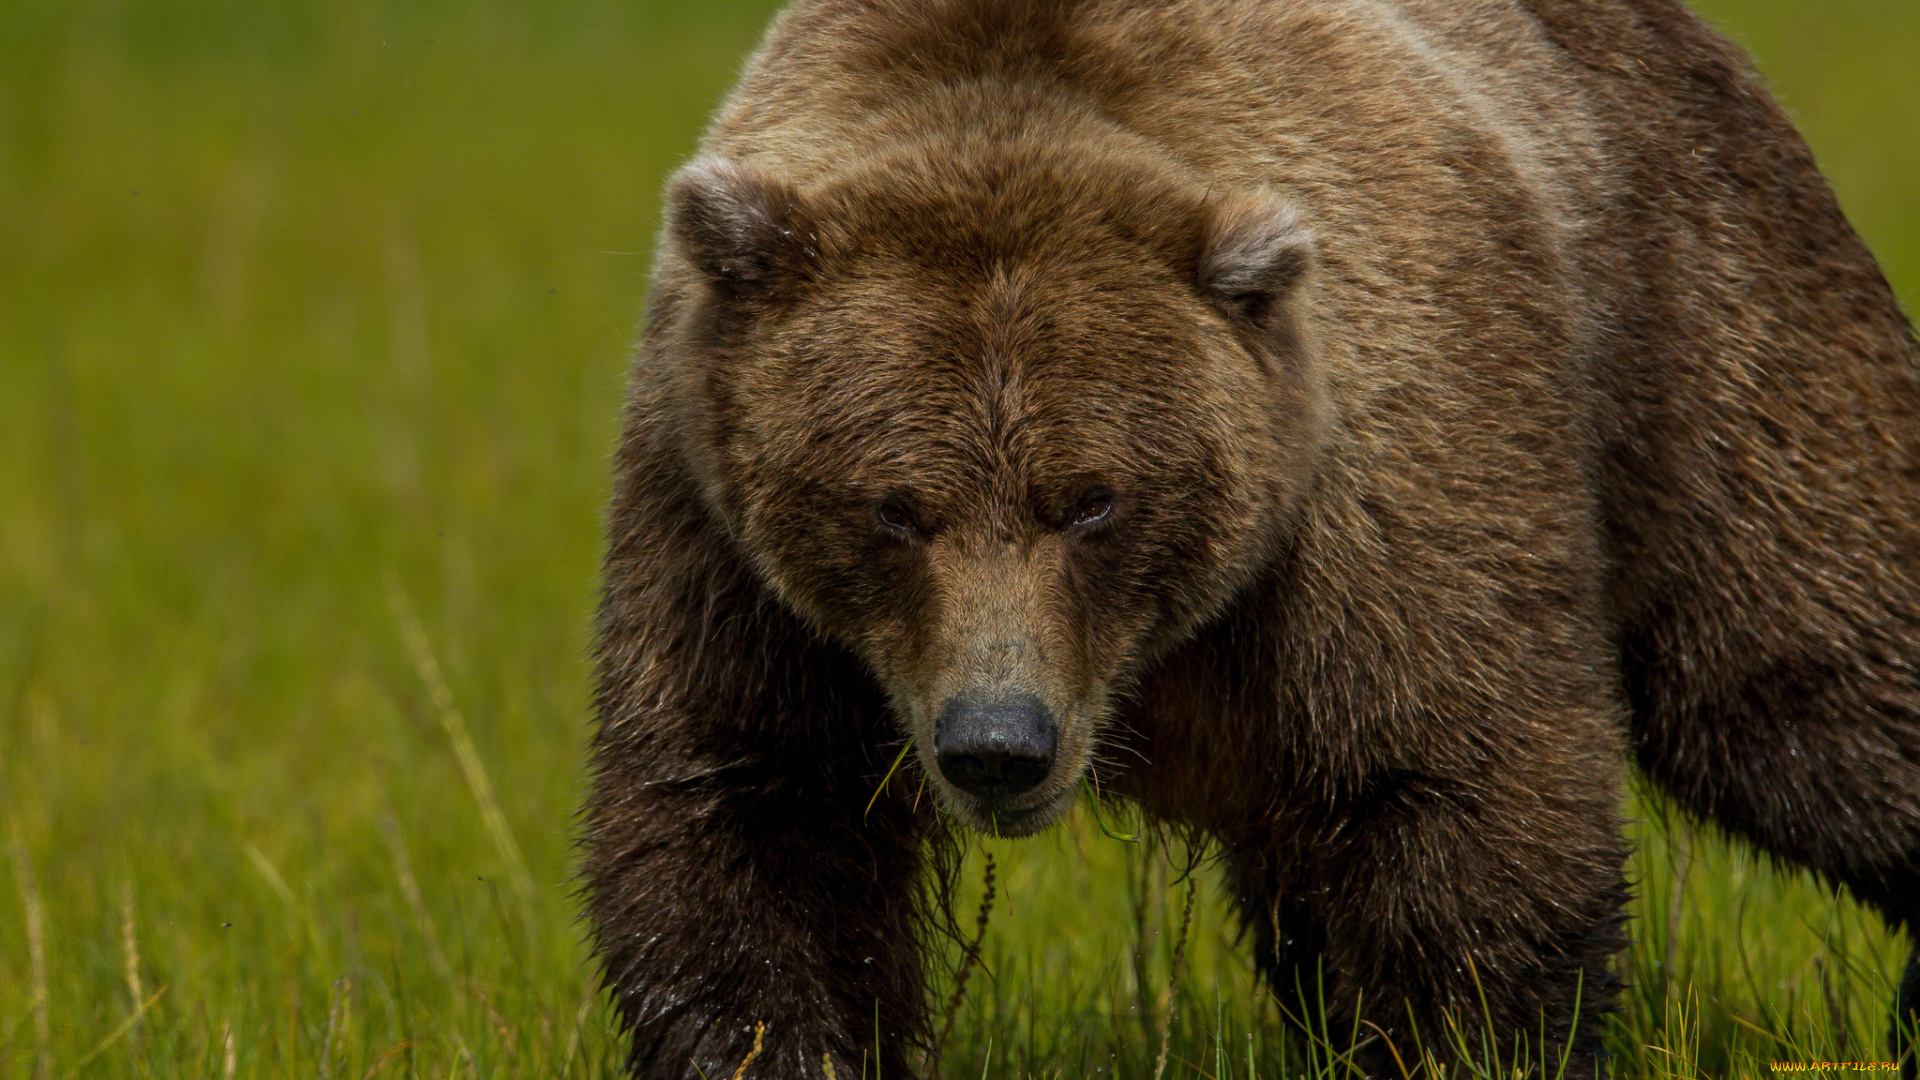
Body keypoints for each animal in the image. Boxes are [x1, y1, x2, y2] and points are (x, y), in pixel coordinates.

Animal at [579, 2, 1920, 1076]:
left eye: (1092, 499)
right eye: (894, 506)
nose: (998, 744)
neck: (1154, 655)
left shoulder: (1380, 501)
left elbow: (1466, 803)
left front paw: (1465, 1040)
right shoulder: (720, 540)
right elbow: (748, 823)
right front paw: (770, 1041)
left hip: (1699, 325)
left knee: (1809, 670)